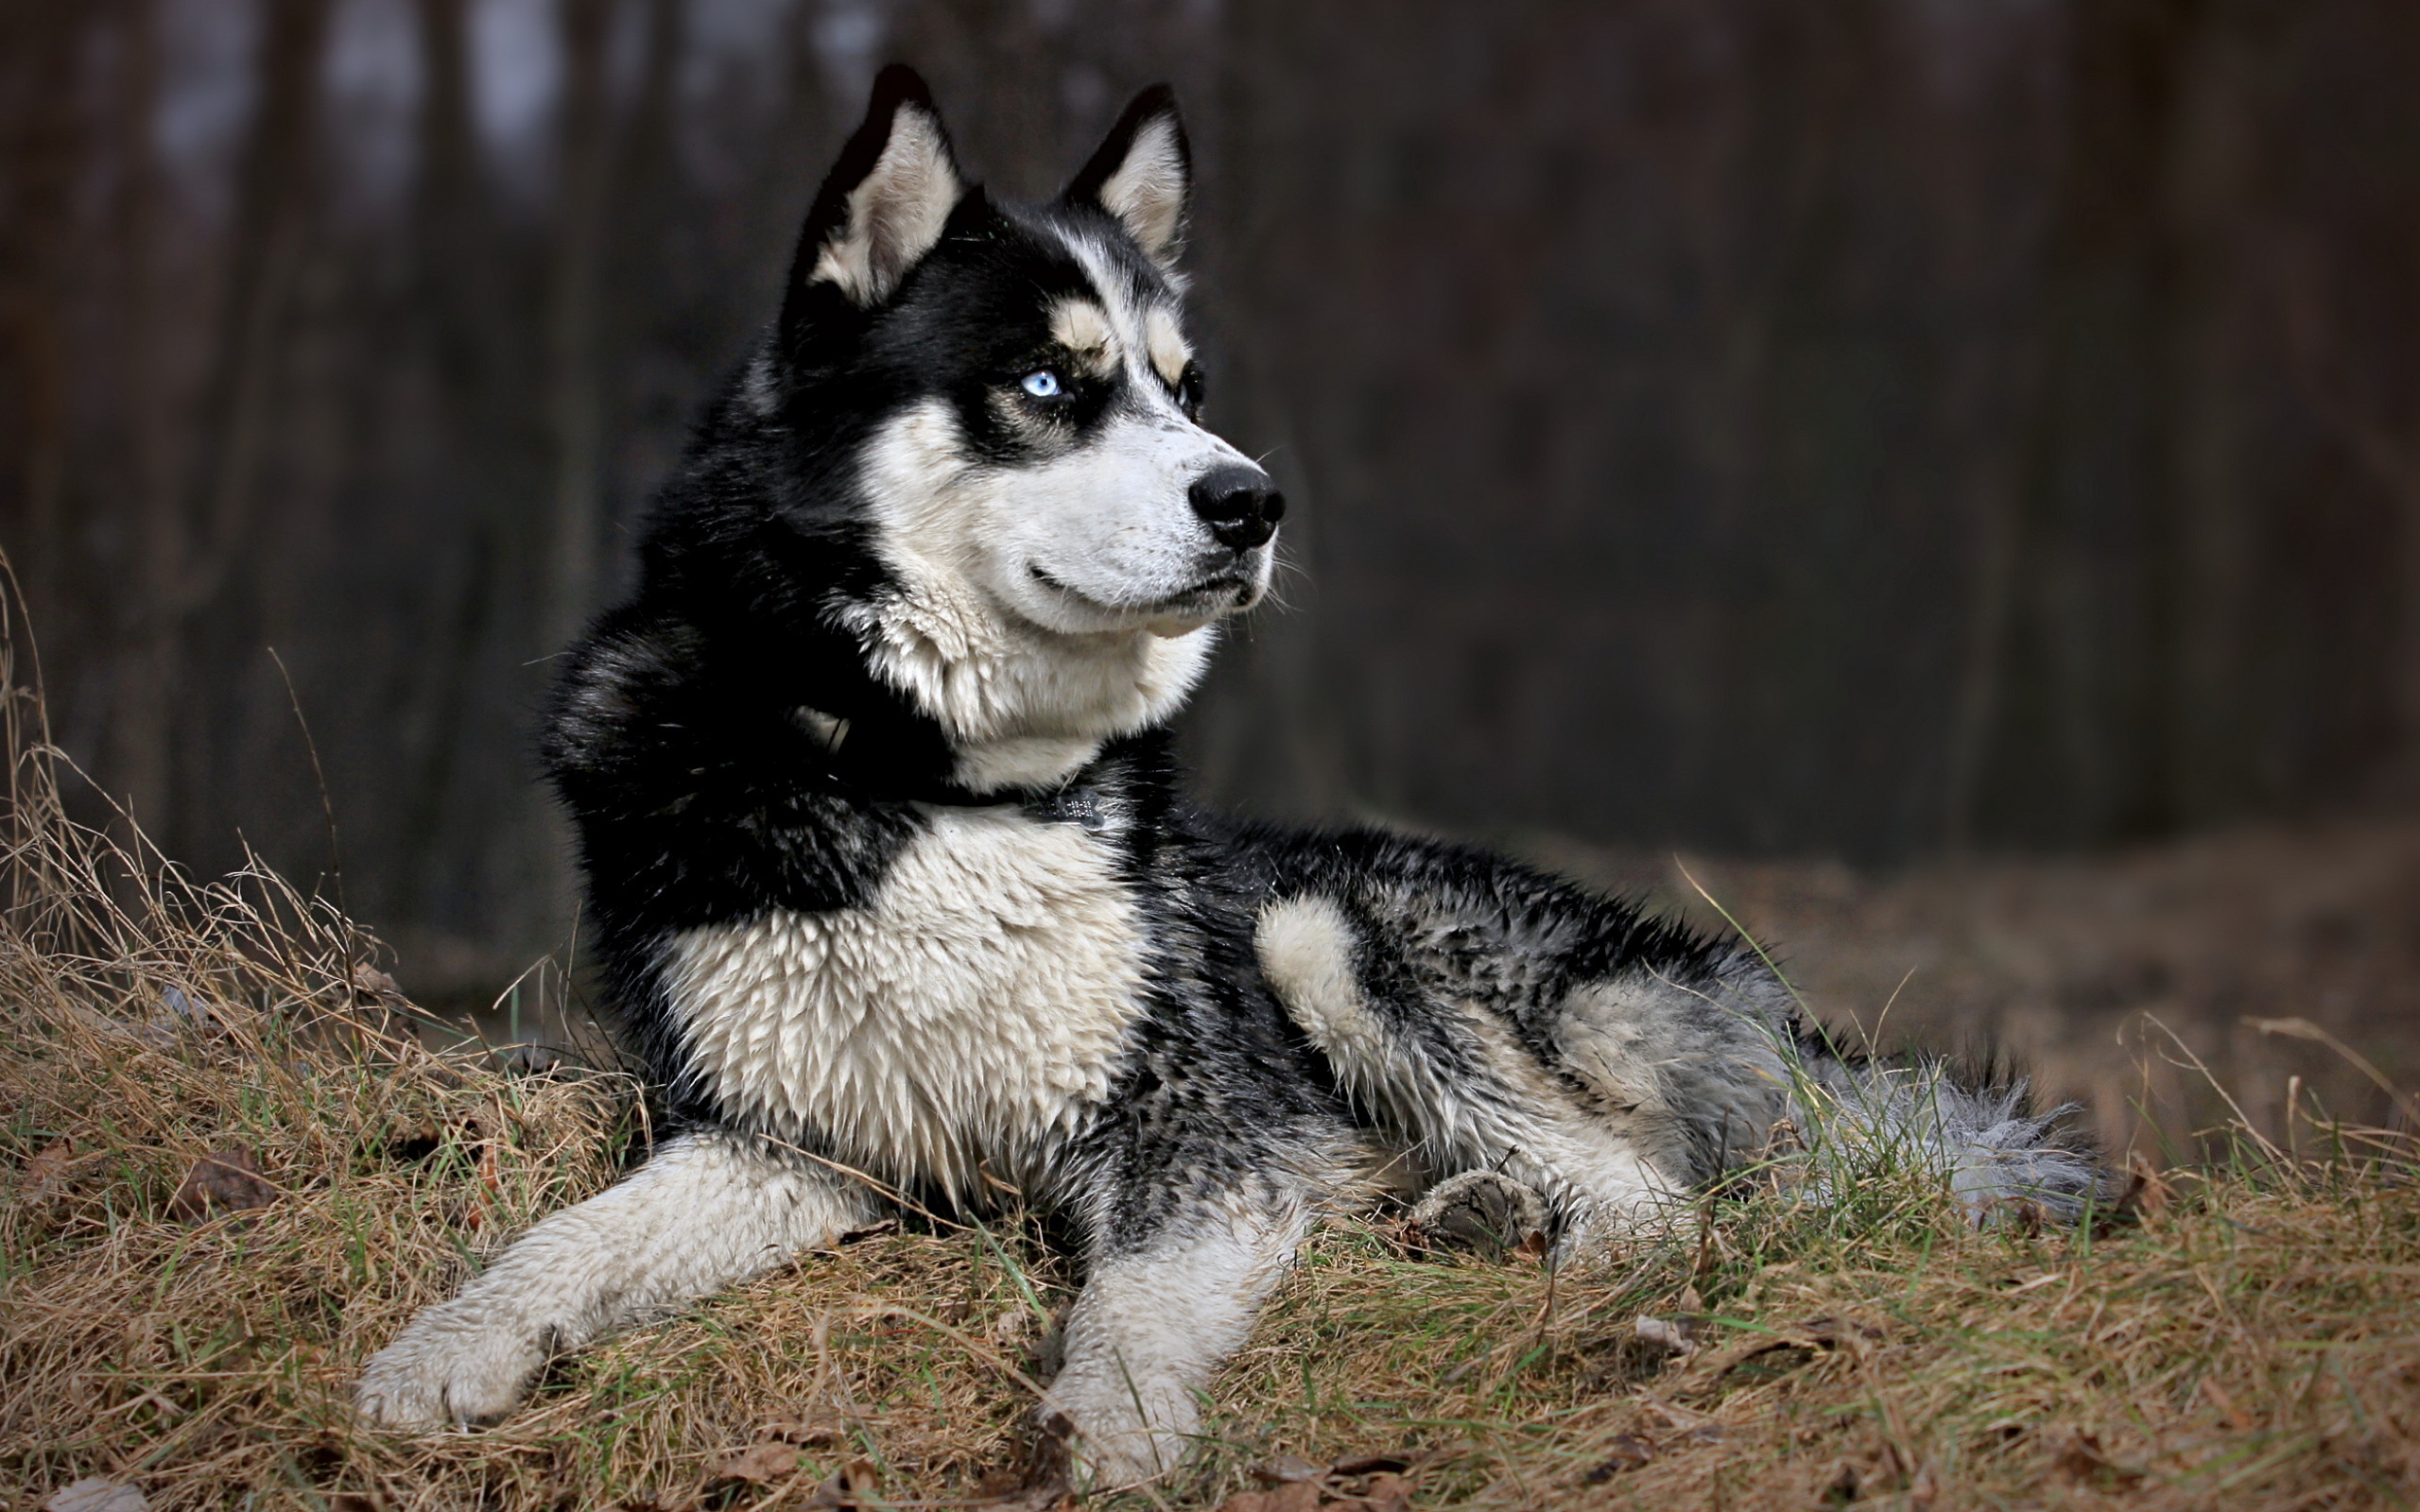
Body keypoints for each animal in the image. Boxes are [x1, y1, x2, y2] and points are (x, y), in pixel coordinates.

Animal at [353, 67, 2100, 1470]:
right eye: (1048, 385)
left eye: (1184, 389)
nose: (1254, 501)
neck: (938, 783)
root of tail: (1742, 989)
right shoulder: (792, 1135)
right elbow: (567, 1242)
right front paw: (440, 1352)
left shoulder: (1193, 1138)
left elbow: (1129, 1311)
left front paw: (1106, 1439)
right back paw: (1466, 1212)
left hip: (1321, 929)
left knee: (1656, 1199)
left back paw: (1583, 1283)